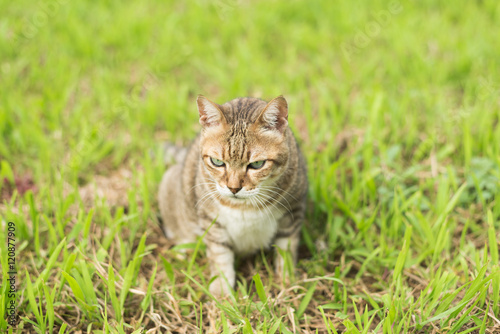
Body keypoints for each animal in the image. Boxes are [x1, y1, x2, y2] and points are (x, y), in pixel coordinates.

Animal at [157, 94, 308, 294]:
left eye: (257, 164)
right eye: (217, 162)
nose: (233, 188)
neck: (244, 206)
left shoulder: (293, 211)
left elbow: (286, 249)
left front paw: (287, 282)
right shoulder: (212, 222)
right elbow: (220, 255)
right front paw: (222, 293)